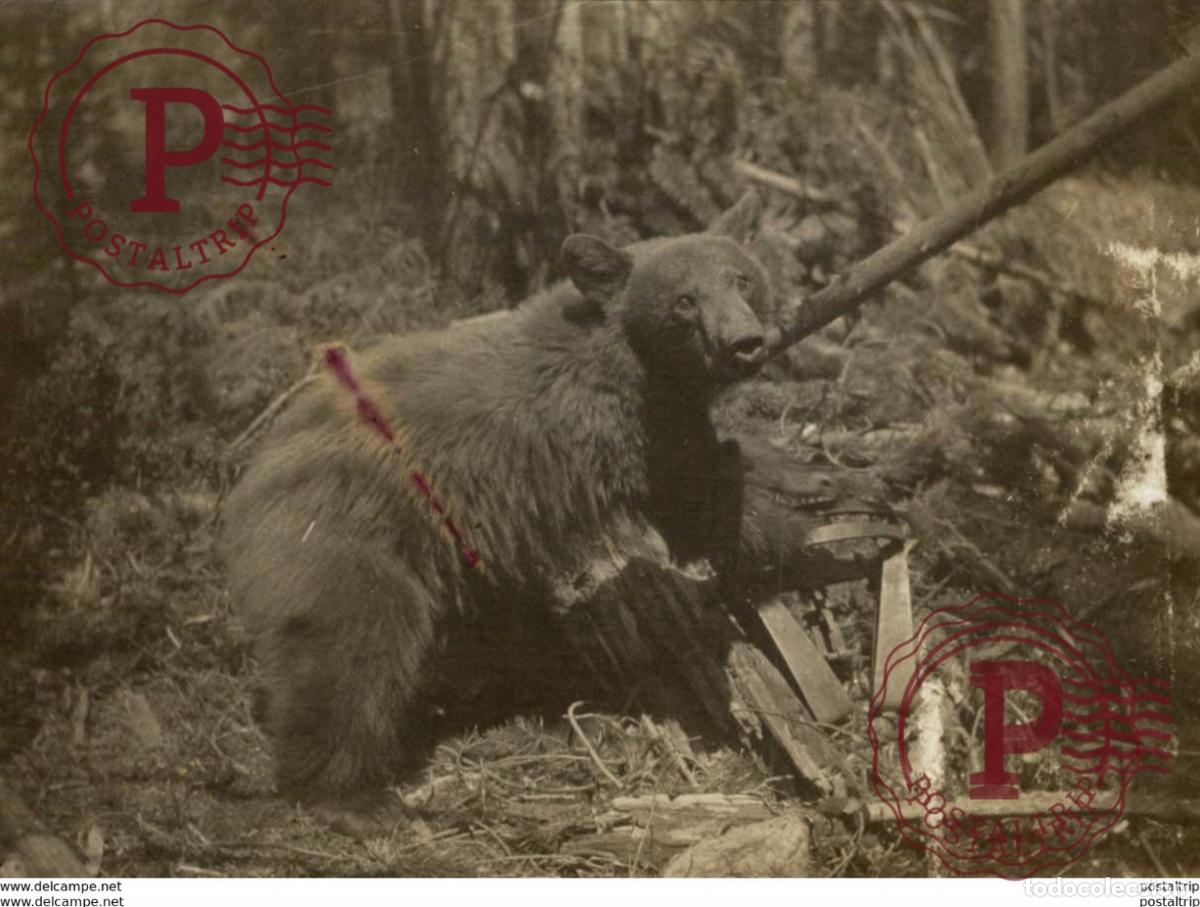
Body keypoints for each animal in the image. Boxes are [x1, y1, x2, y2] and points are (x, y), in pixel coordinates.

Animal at [221, 191, 772, 831]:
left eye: (742, 279)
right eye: (684, 300)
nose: (745, 342)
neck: (634, 360)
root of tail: (248, 486)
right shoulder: (607, 432)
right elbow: (685, 499)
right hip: (350, 542)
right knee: (352, 656)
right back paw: (352, 796)